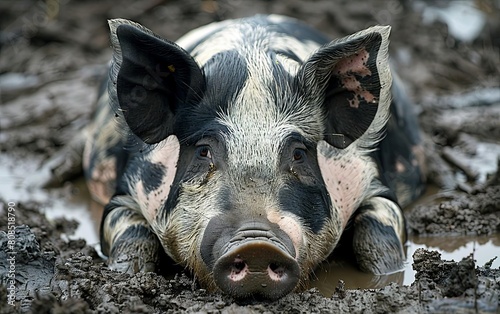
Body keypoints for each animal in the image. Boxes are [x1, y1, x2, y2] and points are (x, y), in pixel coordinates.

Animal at [43, 14, 424, 300]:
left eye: (299, 154)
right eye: (204, 151)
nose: (256, 244)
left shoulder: (373, 183)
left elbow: (379, 232)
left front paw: (387, 279)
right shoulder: (128, 191)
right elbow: (131, 237)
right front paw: (126, 275)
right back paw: (51, 175)